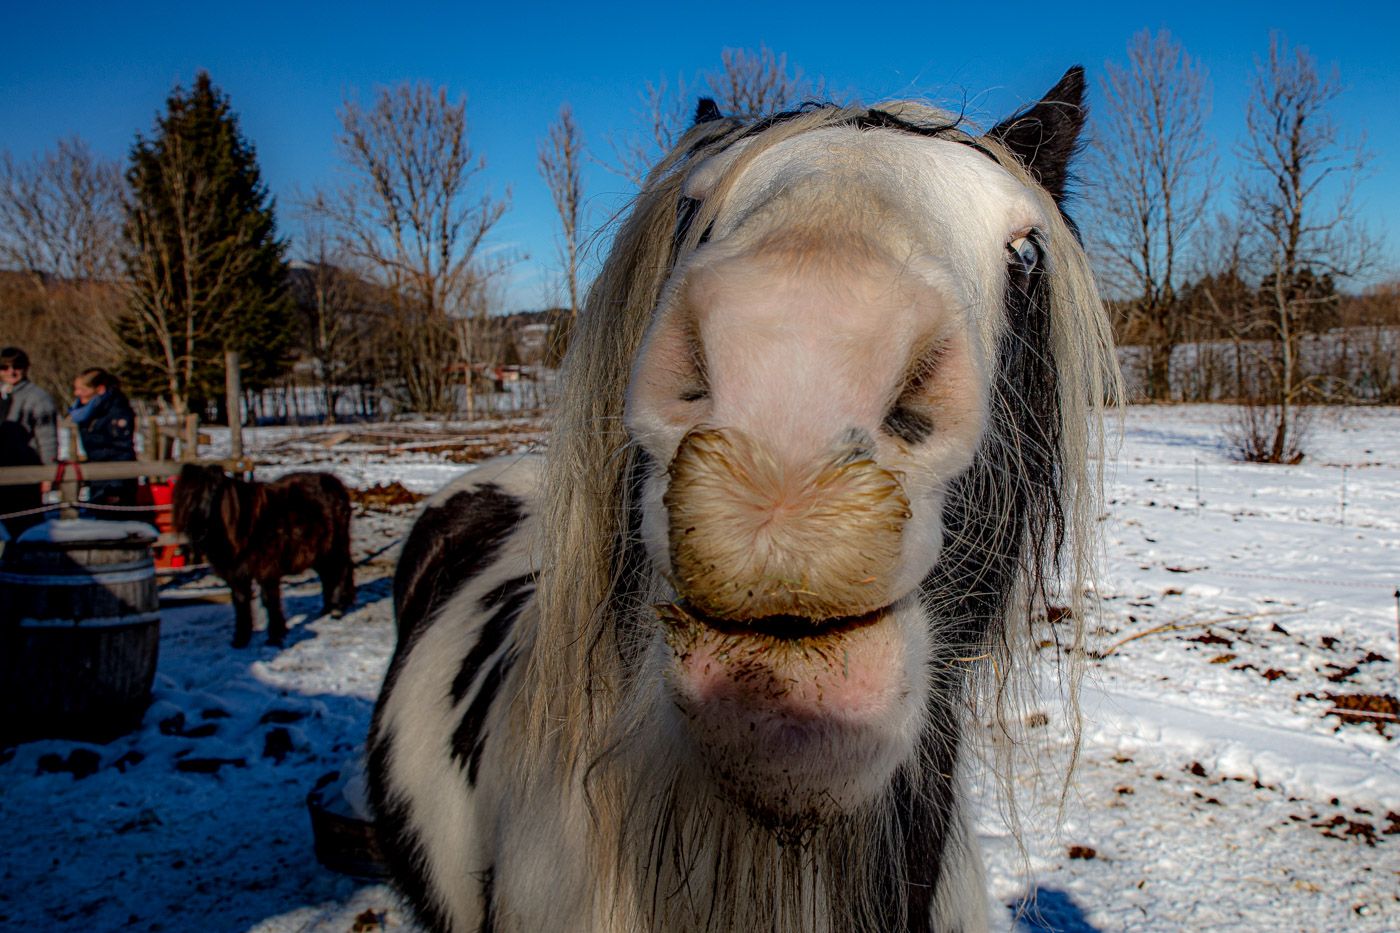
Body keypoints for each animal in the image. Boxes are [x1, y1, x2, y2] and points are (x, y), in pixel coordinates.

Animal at [172, 462, 355, 644]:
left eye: (215, 493)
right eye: (186, 495)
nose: (197, 533)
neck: (248, 527)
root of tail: (336, 483)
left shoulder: (267, 569)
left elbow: (269, 600)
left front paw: (275, 635)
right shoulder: (235, 574)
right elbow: (240, 601)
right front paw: (241, 638)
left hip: (336, 545)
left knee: (340, 571)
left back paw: (337, 609)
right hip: (320, 552)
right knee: (327, 576)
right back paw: (327, 608)